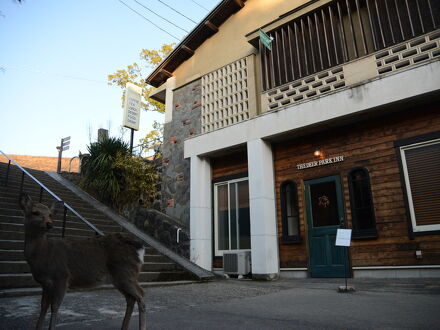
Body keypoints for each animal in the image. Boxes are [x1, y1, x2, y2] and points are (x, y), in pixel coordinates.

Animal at [19, 193, 147, 330]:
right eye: (35, 212)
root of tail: (140, 247)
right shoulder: (45, 284)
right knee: (130, 298)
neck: (44, 256)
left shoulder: (62, 277)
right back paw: (124, 327)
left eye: (50, 214)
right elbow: (43, 306)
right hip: (118, 277)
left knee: (141, 294)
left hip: (125, 272)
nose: (49, 224)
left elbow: (55, 307)